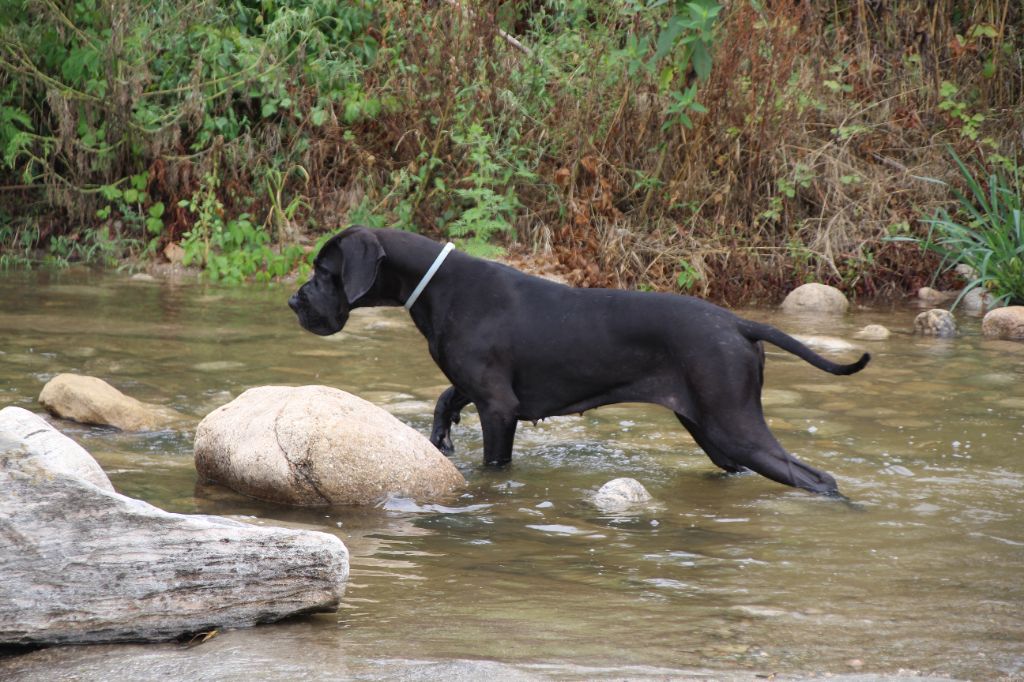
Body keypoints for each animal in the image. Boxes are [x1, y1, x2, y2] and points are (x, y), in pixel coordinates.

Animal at [290, 225, 872, 491]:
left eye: (324, 271)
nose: (295, 302)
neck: (437, 287)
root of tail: (738, 323)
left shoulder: (499, 408)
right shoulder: (480, 388)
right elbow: (445, 398)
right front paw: (442, 433)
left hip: (735, 425)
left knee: (818, 479)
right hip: (713, 432)